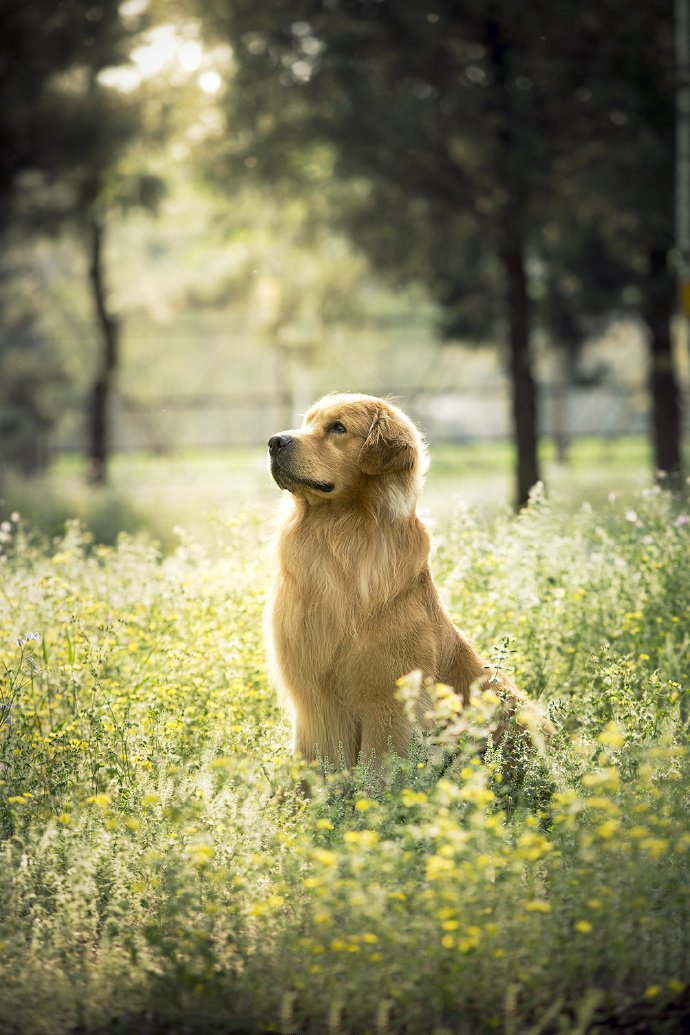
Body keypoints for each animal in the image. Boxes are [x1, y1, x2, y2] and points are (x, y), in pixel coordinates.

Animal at [266, 391, 533, 774]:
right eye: (307, 423)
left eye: (338, 428)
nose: (274, 442)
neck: (338, 536)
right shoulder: (318, 704)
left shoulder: (388, 703)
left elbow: (377, 768)